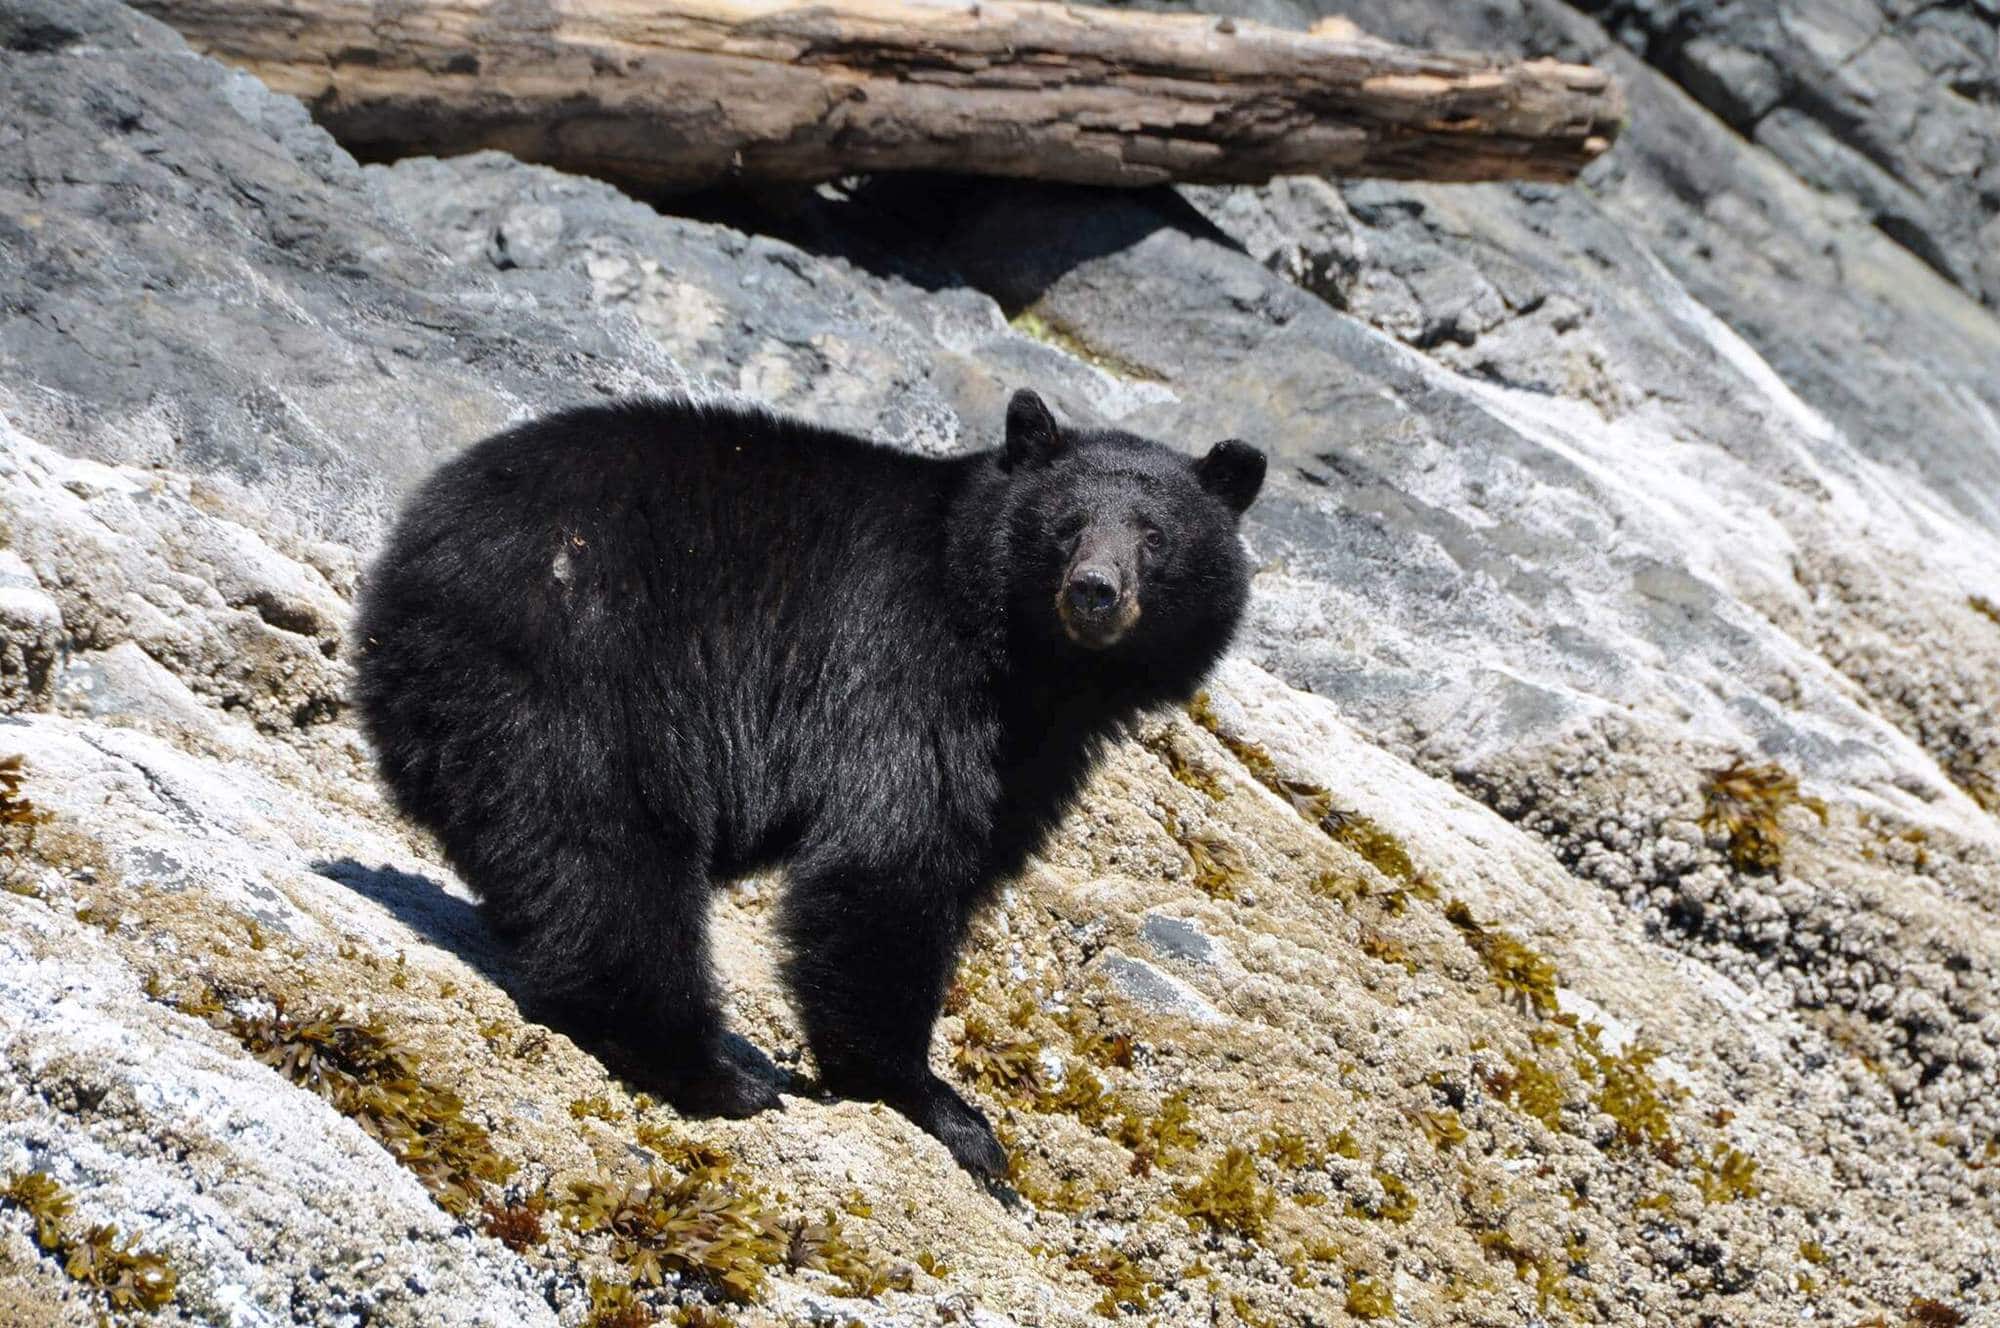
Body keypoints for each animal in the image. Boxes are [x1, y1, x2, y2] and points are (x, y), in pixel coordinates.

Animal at [356, 386, 1264, 1176]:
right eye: (1066, 524)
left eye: (1155, 536)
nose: (1095, 591)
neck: (1031, 660)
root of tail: (410, 554)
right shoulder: (907, 665)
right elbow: (889, 858)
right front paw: (937, 1103)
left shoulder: (1027, 746)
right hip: (577, 664)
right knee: (604, 856)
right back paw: (706, 1069)